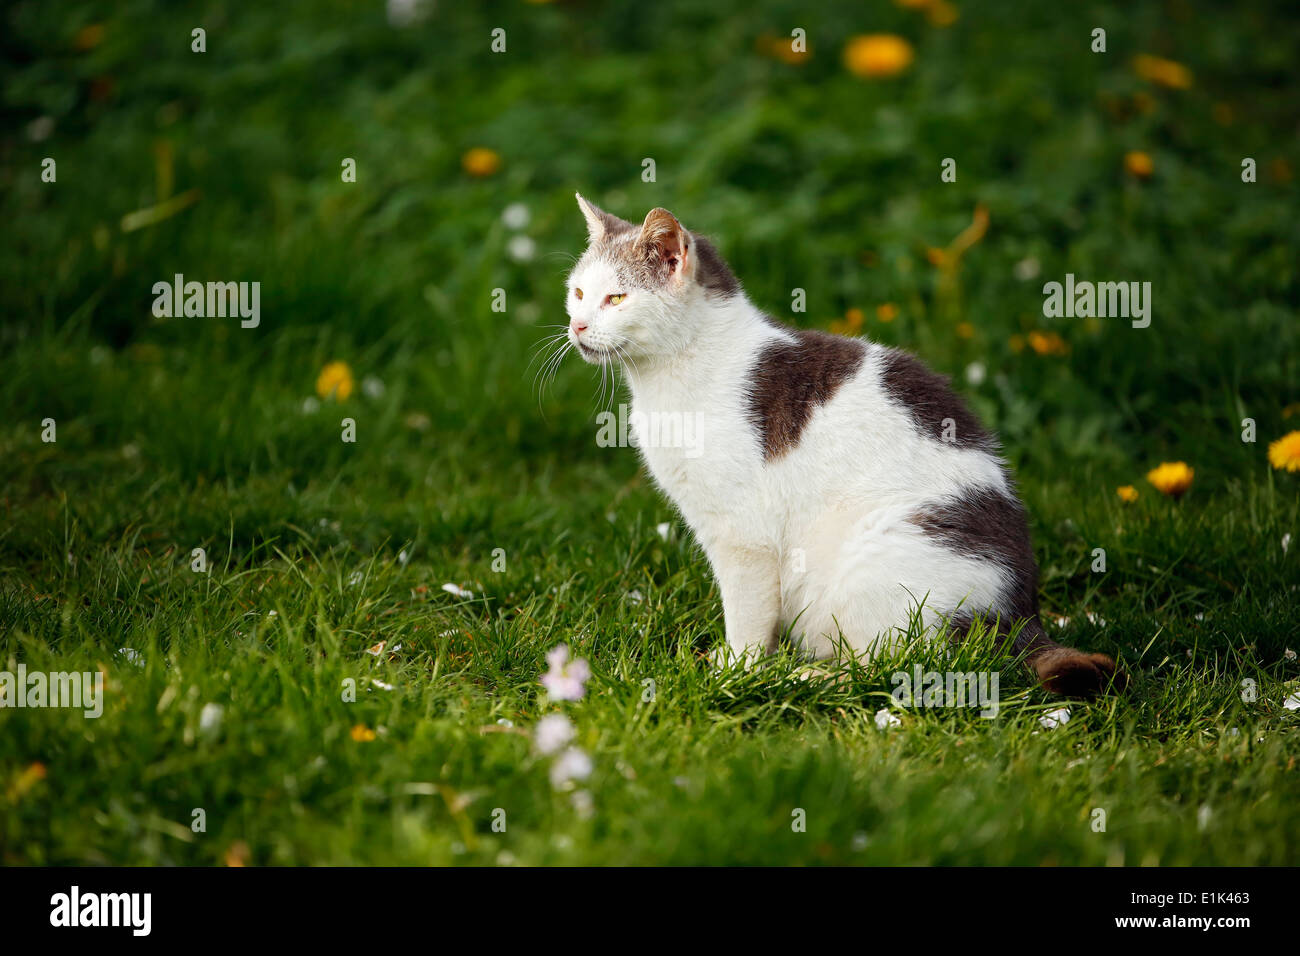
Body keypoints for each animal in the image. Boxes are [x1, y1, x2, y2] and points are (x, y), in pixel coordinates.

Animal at [564, 195, 1123, 697]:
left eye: (616, 299)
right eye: (578, 292)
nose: (576, 325)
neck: (670, 376)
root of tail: (1022, 616)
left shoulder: (745, 538)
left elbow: (748, 616)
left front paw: (736, 674)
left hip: (874, 565)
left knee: (893, 669)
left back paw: (797, 678)